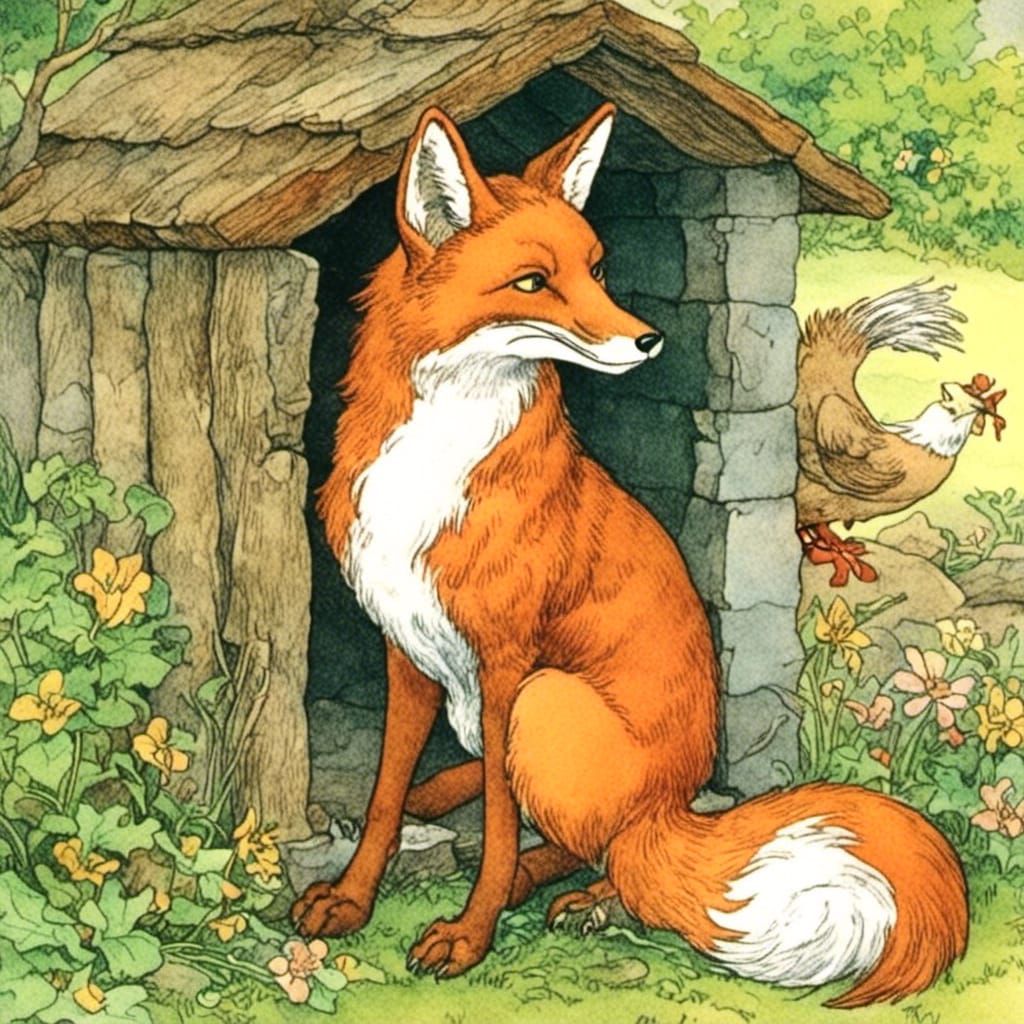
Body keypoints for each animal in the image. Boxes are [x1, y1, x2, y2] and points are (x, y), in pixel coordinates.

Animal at [291, 101, 968, 1007]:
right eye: (533, 282)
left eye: (599, 268)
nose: (650, 341)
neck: (437, 467)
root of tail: (677, 803)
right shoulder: (406, 647)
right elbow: (384, 798)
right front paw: (351, 898)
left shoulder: (508, 659)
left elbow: (498, 828)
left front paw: (470, 934)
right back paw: (454, 803)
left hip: (541, 700)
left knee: (595, 847)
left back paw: (577, 897)